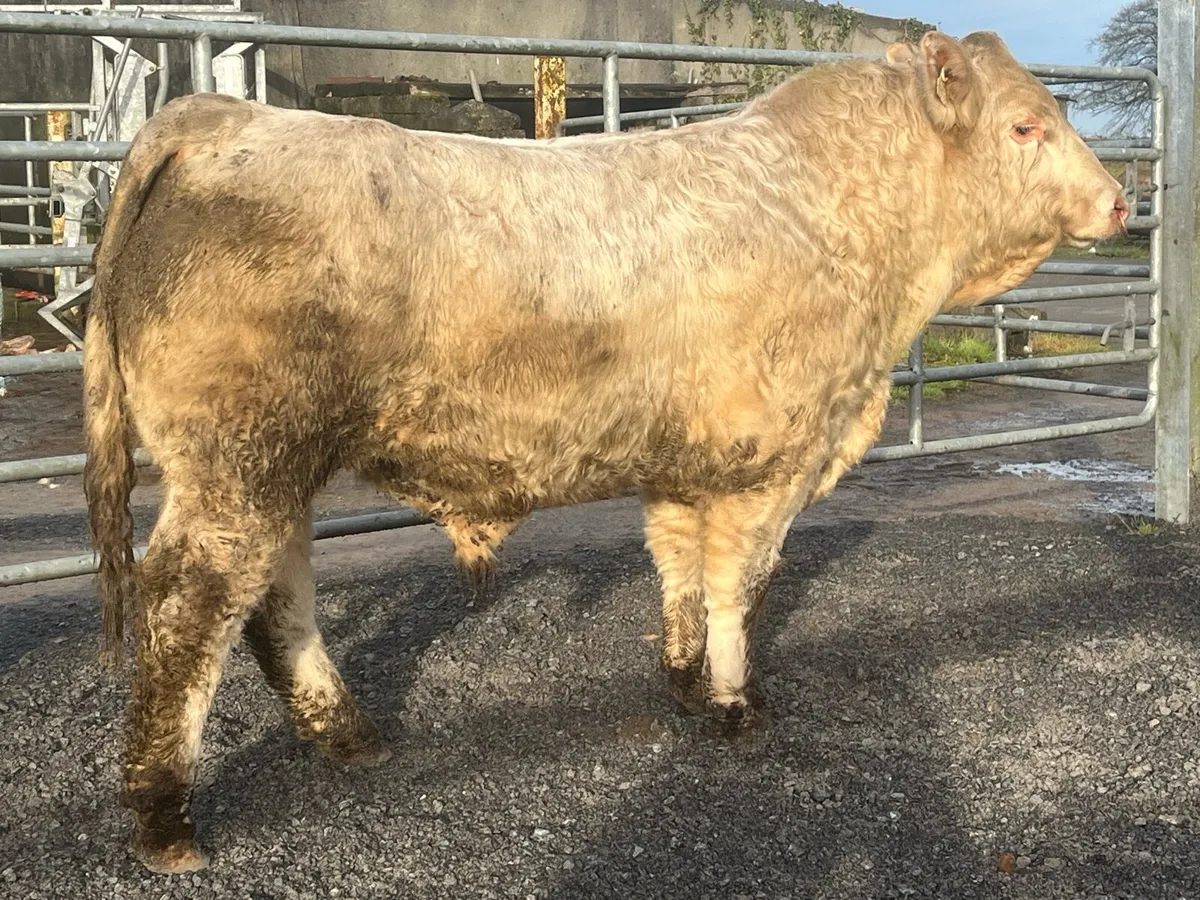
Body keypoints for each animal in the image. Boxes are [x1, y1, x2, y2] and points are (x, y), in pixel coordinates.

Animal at [82, 30, 1129, 873]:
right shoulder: (769, 464)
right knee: (189, 608)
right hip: (236, 464)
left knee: (277, 596)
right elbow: (737, 585)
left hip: (274, 465)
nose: (1121, 202)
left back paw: (347, 734)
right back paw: (165, 821)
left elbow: (679, 570)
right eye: (1027, 127)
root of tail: (219, 114)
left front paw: (683, 682)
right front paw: (736, 707)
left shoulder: (685, 466)